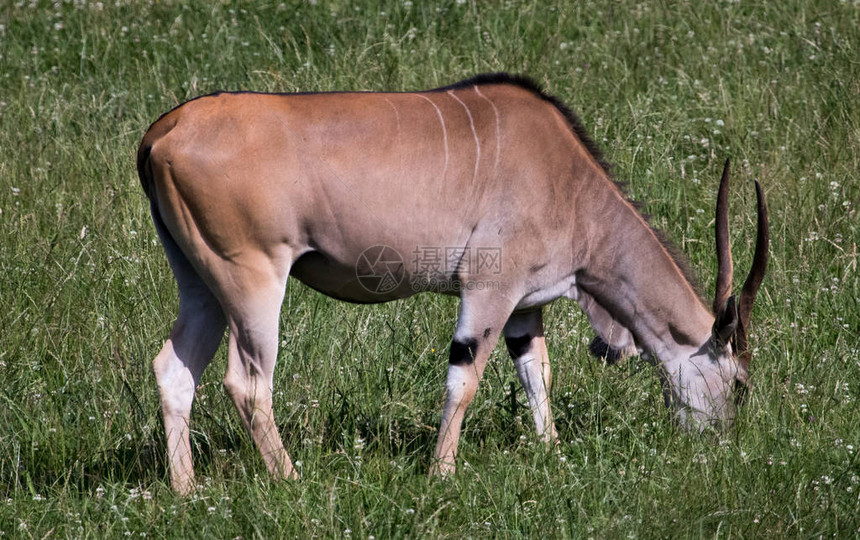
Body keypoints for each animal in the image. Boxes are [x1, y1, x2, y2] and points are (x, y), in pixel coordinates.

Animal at [138, 73, 768, 494]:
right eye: (739, 383)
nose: (722, 447)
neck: (568, 180)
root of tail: (166, 131)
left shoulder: (523, 307)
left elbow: (536, 373)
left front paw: (551, 452)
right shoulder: (489, 291)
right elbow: (463, 379)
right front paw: (441, 474)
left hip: (201, 285)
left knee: (175, 369)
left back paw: (186, 491)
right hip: (252, 282)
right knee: (247, 383)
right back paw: (294, 481)